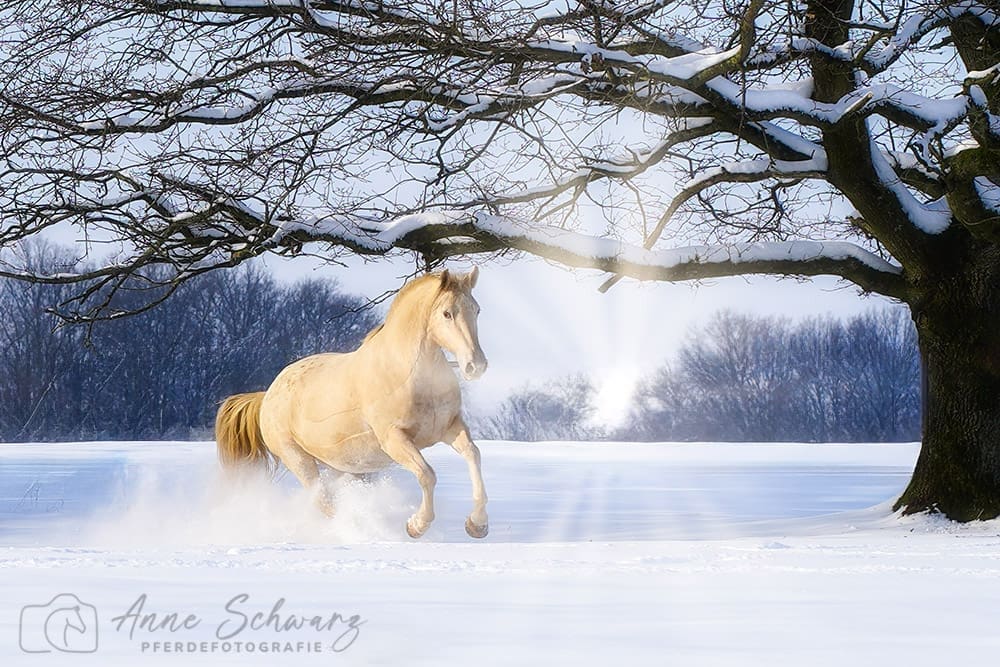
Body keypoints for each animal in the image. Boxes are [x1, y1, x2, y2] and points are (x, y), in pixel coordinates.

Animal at [216, 268, 492, 540]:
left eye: (477, 310)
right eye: (447, 313)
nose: (476, 366)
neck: (405, 372)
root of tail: (267, 395)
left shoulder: (450, 427)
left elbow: (474, 456)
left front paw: (477, 525)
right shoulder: (394, 439)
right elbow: (427, 474)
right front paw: (416, 525)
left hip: (339, 464)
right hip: (297, 458)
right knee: (323, 501)